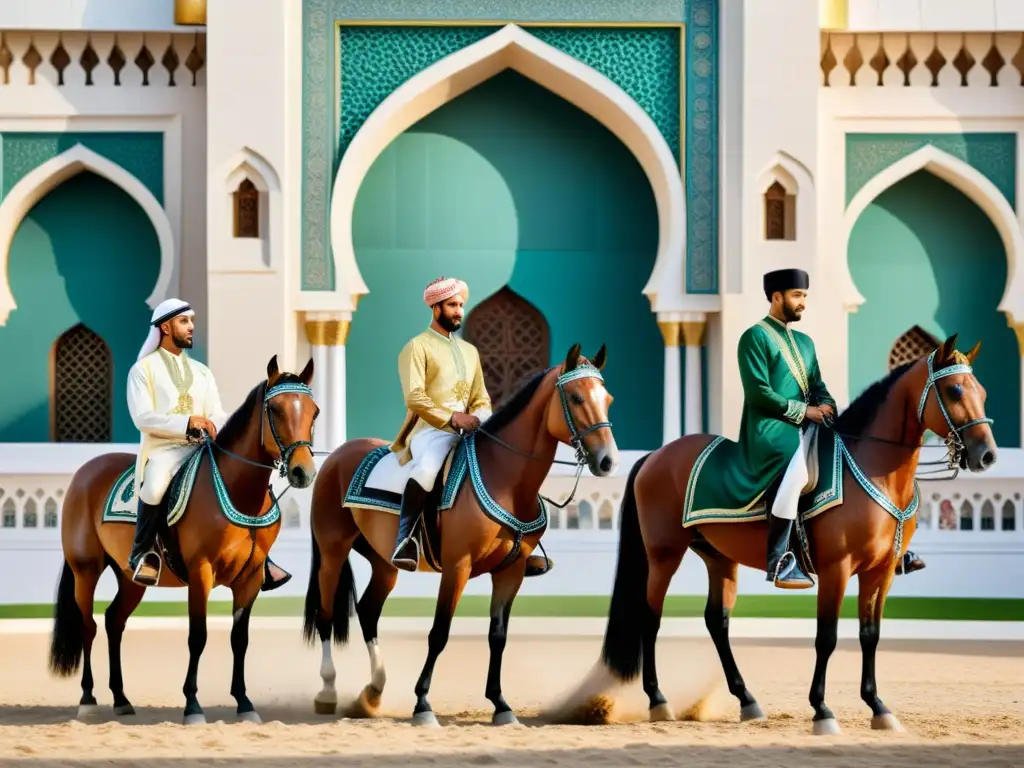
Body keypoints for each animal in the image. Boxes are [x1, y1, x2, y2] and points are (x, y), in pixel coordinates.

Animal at [48, 354, 317, 729]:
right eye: (275, 409)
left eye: (314, 411)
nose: (303, 472)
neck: (235, 489)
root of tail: (86, 472)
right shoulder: (200, 573)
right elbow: (198, 636)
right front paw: (192, 705)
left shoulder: (249, 579)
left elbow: (240, 639)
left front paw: (244, 703)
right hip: (86, 570)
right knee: (88, 625)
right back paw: (88, 700)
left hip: (131, 578)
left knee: (114, 621)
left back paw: (121, 699)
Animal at [299, 342, 618, 729]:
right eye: (575, 397)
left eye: (607, 398)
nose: (608, 461)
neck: (506, 479)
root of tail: (337, 455)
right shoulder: (457, 567)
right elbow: (439, 633)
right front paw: (422, 703)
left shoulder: (511, 572)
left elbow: (498, 635)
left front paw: (500, 704)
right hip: (331, 553)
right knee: (327, 614)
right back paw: (328, 691)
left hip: (385, 563)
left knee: (368, 611)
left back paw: (373, 692)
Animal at [557, 333, 995, 737]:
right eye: (955, 390)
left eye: (982, 391)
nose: (987, 454)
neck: (874, 468)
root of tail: (656, 455)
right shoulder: (836, 569)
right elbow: (827, 637)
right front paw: (822, 710)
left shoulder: (881, 571)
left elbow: (870, 635)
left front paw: (878, 707)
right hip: (664, 555)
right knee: (651, 618)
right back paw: (658, 700)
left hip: (718, 557)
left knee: (717, 621)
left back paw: (746, 700)